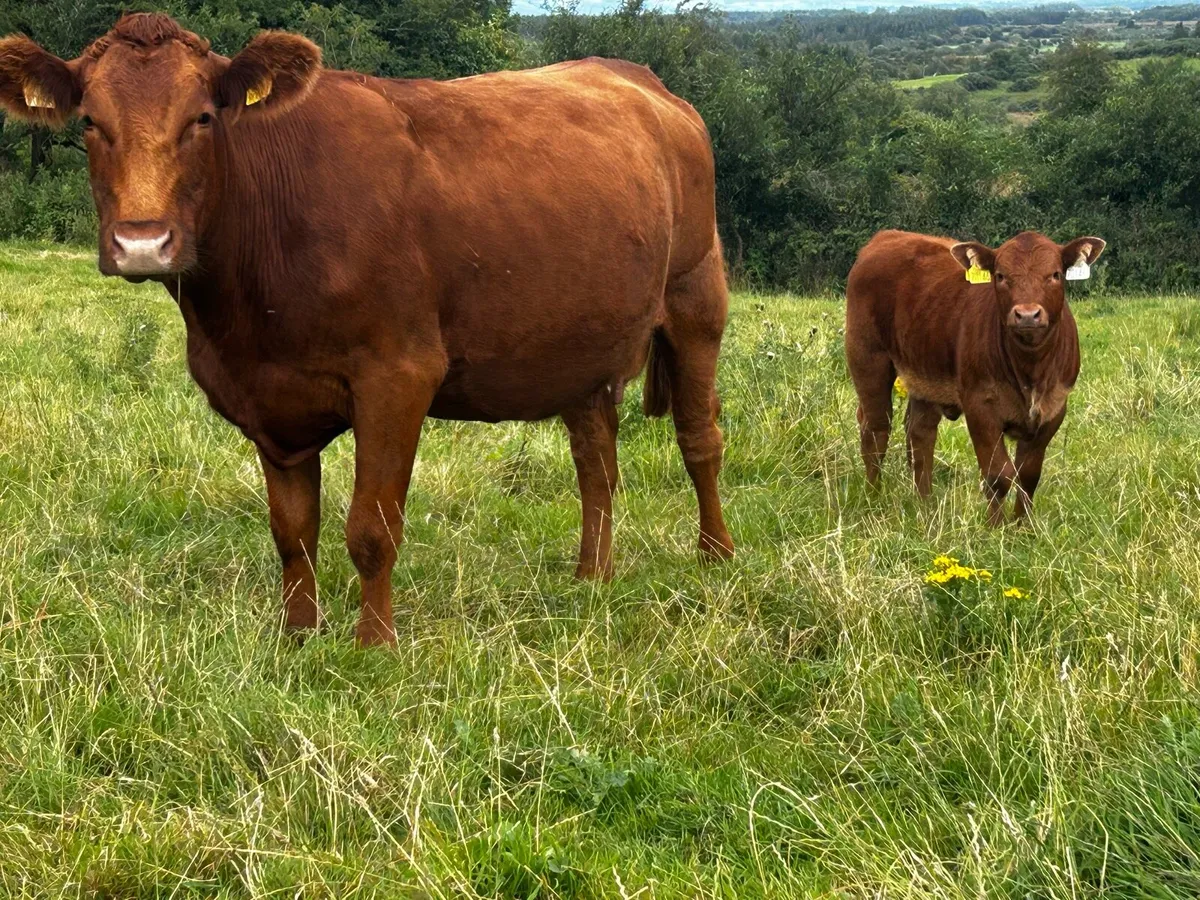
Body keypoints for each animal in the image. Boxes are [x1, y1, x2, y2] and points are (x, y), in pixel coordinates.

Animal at [0, 13, 735, 646]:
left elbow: (371, 529)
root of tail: (638, 77)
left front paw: (374, 642)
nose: (143, 244)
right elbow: (293, 530)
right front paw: (299, 634)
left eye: (202, 117)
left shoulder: (398, 375)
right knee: (596, 460)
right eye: (90, 122)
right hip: (583, 341)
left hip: (696, 298)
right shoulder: (266, 396)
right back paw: (592, 576)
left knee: (700, 439)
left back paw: (715, 558)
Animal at [845, 229, 1106, 526]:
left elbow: (1028, 476)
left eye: (1055, 274)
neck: (1030, 371)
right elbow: (998, 475)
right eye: (1000, 276)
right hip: (867, 358)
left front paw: (1023, 528)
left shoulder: (1054, 408)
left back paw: (925, 505)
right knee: (876, 430)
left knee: (920, 434)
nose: (1027, 314)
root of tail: (887, 236)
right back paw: (873, 497)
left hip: (923, 372)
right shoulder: (980, 407)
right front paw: (995, 529)